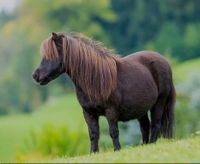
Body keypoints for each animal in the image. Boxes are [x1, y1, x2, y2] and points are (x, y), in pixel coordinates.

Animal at [32, 32, 175, 153]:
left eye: (50, 56)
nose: (35, 75)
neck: (95, 79)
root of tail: (164, 61)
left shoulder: (111, 111)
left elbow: (113, 131)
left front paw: (117, 150)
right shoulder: (88, 113)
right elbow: (93, 134)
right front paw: (93, 153)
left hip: (159, 102)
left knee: (155, 124)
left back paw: (151, 145)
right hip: (141, 109)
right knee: (145, 126)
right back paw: (143, 146)